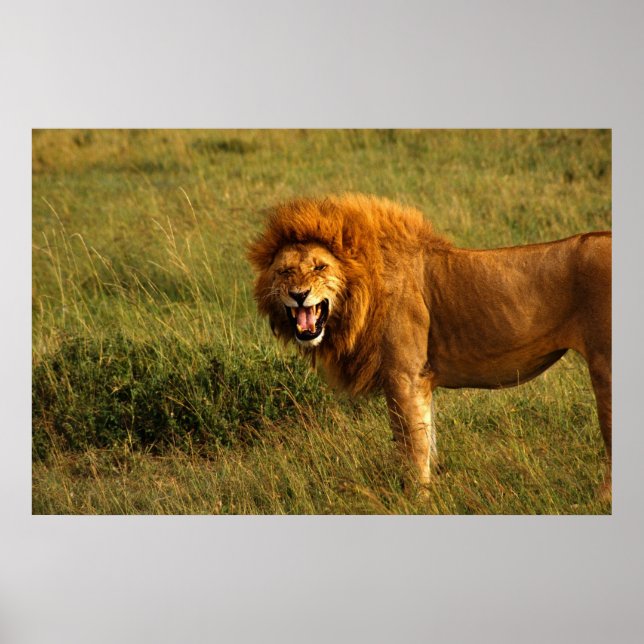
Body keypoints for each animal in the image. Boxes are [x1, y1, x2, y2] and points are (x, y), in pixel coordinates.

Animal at [247, 194, 611, 496]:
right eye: (285, 271)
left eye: (320, 267)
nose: (299, 294)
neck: (361, 293)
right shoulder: (420, 381)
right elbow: (427, 439)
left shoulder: (404, 376)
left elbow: (412, 447)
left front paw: (416, 500)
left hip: (605, 368)